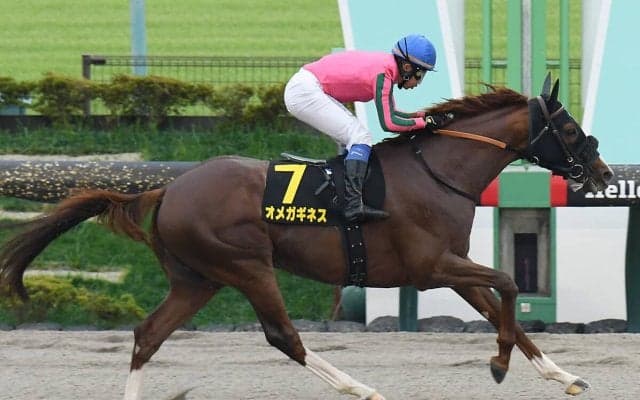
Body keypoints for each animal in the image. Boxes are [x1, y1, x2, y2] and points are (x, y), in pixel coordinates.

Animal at [0, 75, 612, 400]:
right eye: (569, 128)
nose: (603, 173)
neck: (438, 171)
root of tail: (166, 189)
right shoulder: (430, 267)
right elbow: (508, 282)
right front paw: (500, 365)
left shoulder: (450, 265)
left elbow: (503, 308)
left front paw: (563, 375)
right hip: (247, 266)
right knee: (283, 338)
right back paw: (360, 388)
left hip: (198, 278)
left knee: (148, 334)